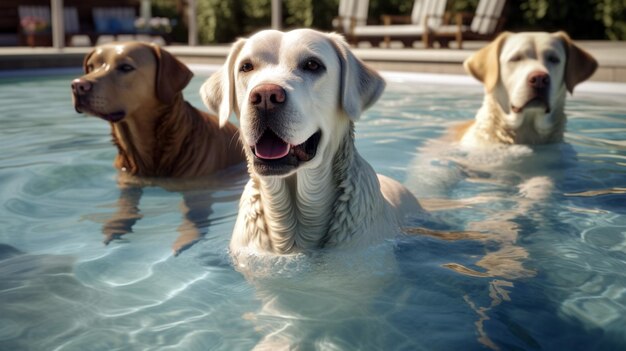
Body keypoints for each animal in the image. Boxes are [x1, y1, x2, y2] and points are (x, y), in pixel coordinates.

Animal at [72, 42, 245, 254]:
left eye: (125, 67)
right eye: (91, 66)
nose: (78, 85)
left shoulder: (198, 188)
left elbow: (194, 213)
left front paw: (188, 236)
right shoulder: (128, 181)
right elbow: (125, 203)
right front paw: (118, 223)